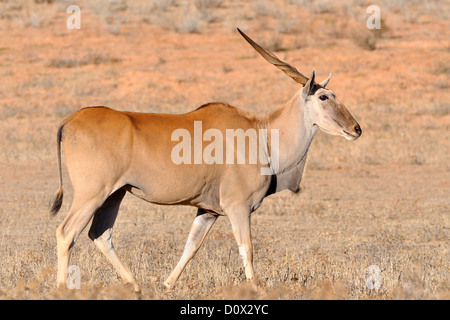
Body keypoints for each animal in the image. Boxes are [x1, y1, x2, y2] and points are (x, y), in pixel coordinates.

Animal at [49, 29, 360, 292]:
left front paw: (167, 286)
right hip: (92, 194)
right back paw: (63, 288)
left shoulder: (208, 211)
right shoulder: (238, 207)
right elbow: (247, 249)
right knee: (66, 233)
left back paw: (135, 286)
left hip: (115, 194)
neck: (262, 135)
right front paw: (256, 289)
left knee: (100, 234)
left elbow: (191, 247)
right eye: (324, 97)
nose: (356, 129)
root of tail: (70, 120)